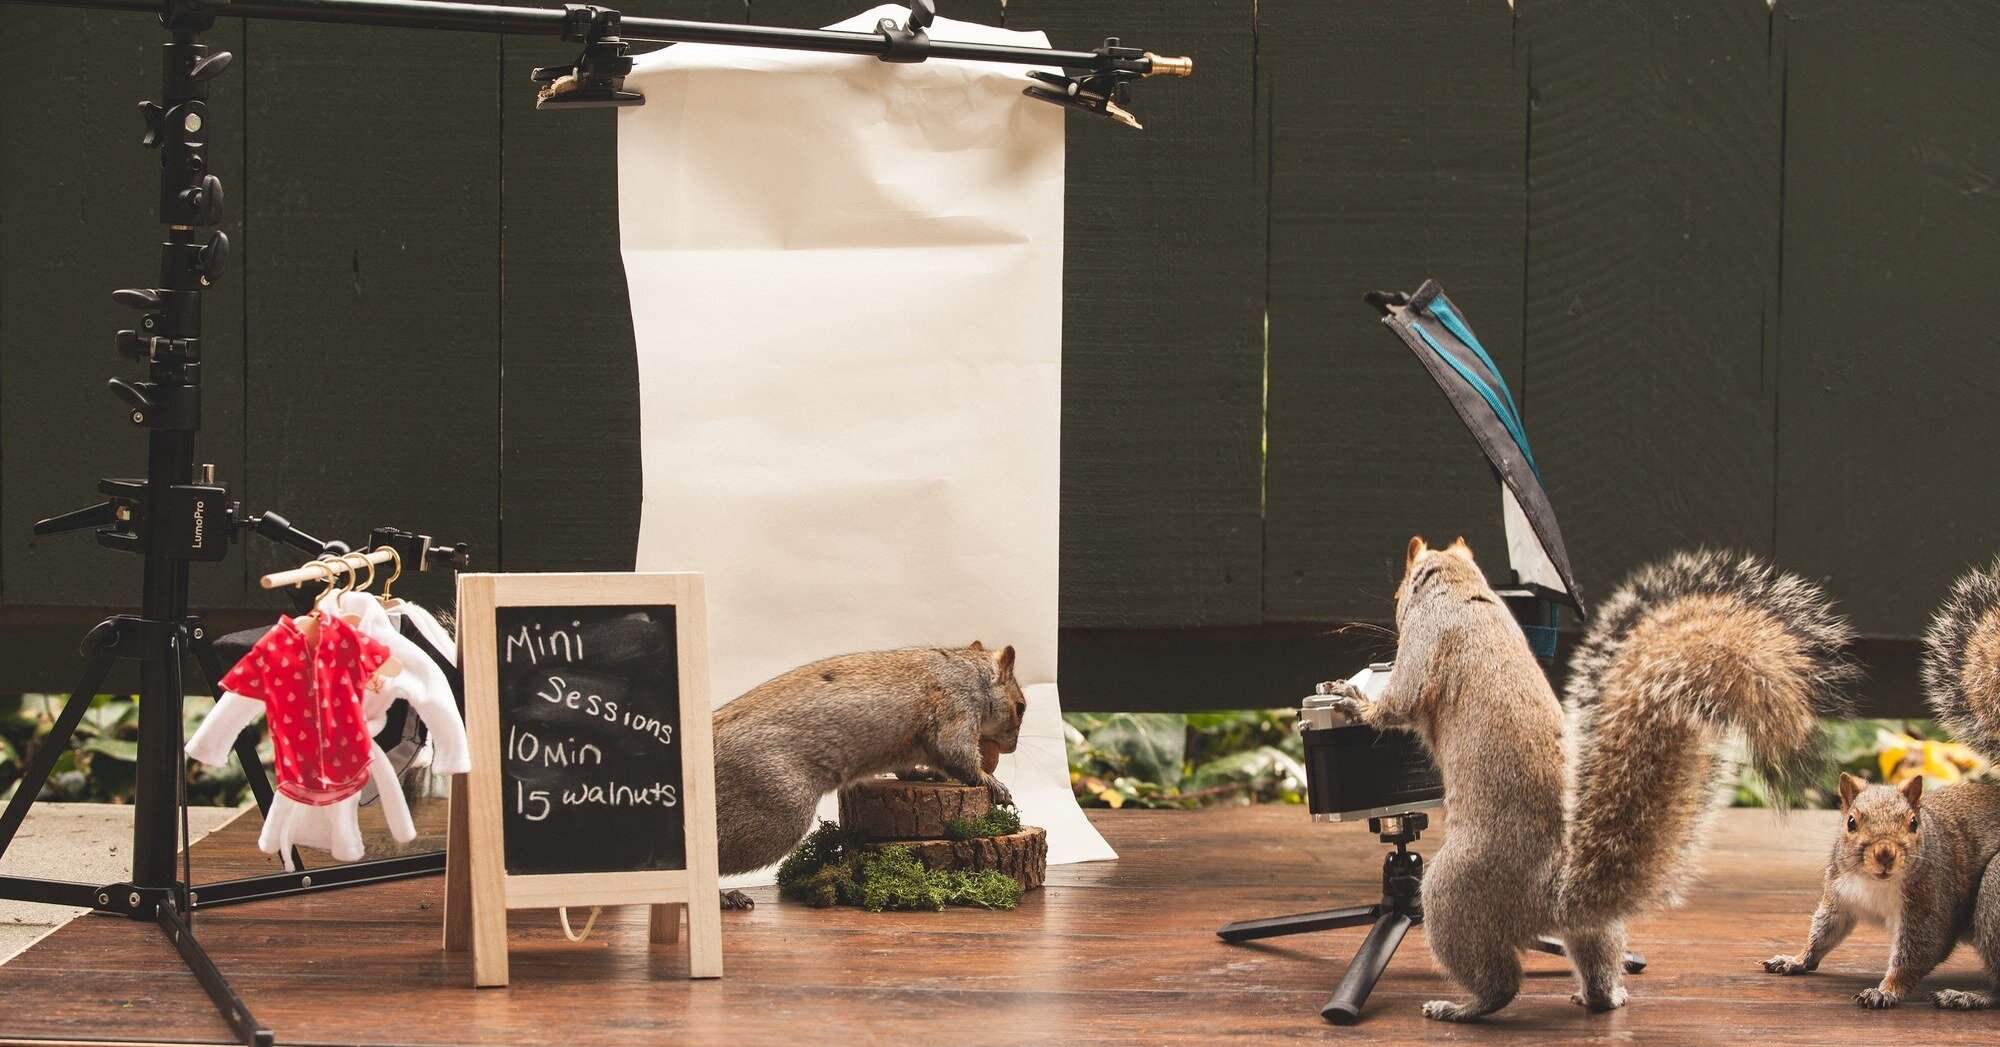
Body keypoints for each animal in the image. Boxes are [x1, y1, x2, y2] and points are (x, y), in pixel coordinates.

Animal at [711, 641, 1026, 881]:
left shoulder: (907, 749)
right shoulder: (956, 706)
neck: (972, 674)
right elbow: (956, 754)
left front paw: (928, 775)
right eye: (1021, 707)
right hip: (774, 806)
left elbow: (909, 770)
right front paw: (993, 784)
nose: (1011, 748)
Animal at [1327, 538, 1853, 1021]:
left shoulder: (1425, 643)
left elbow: (1400, 701)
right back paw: (1604, 995)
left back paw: (1461, 1007)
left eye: (1400, 592)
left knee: (1500, 982)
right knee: (1596, 955)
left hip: (1449, 894)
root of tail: (1558, 895)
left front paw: (1354, 700)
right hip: (1593, 928)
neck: (1464, 590)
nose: (1394, 605)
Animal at [1763, 553, 2000, 1009]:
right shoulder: (1840, 892)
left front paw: (1884, 991)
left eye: (1913, 823)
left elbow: (1918, 951)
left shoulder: (1930, 903)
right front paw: (1796, 959)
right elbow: (1824, 930)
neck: (1876, 883)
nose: (1886, 854)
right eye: (1851, 822)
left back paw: (1970, 997)